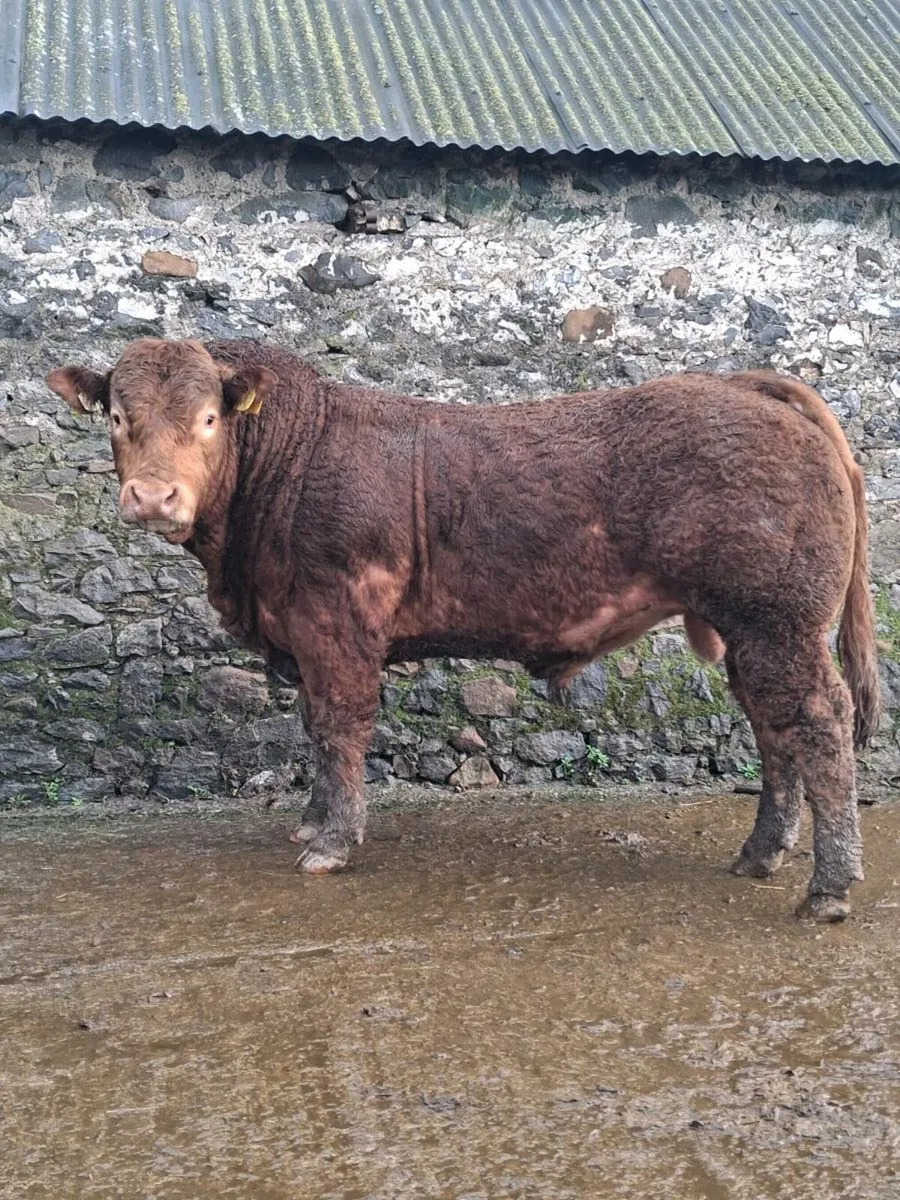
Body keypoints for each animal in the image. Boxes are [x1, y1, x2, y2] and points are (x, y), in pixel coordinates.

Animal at [46, 338, 880, 921]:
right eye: (117, 417)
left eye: (210, 418)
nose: (153, 496)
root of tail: (742, 382)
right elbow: (314, 727)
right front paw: (313, 821)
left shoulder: (337, 621)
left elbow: (340, 728)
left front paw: (333, 842)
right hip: (753, 632)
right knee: (774, 730)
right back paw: (760, 854)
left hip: (777, 621)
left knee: (817, 723)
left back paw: (829, 886)